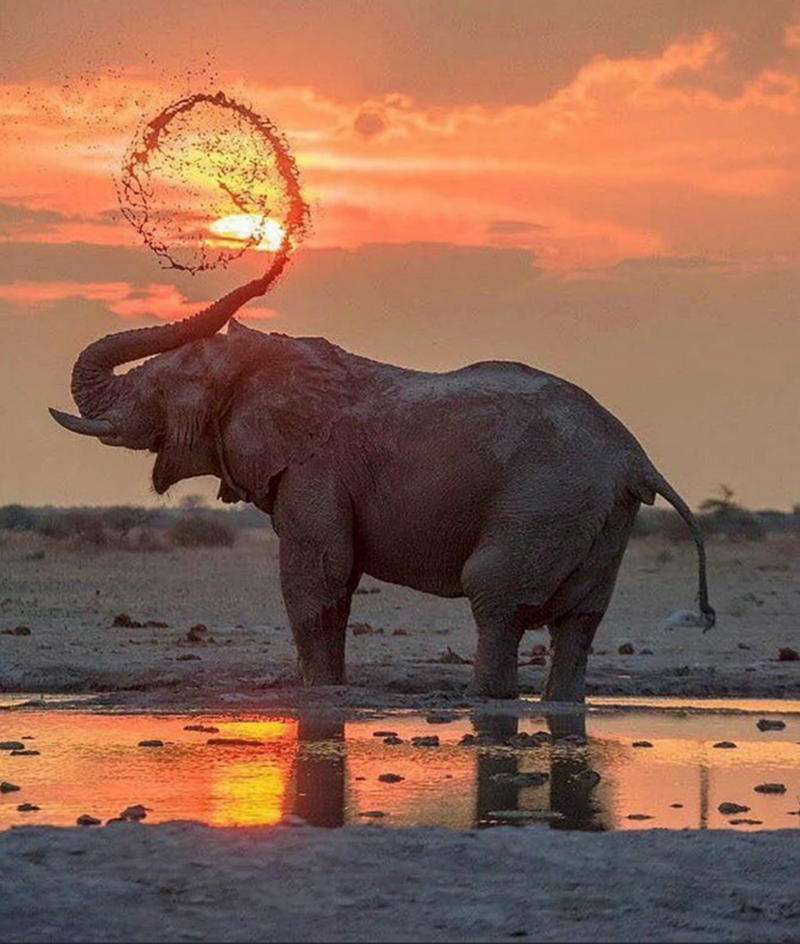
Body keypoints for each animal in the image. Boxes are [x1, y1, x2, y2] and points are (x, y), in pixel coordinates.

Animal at [50, 274, 715, 702]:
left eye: (164, 385)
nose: (267, 264)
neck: (268, 359)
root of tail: (635, 458)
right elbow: (336, 583)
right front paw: (333, 691)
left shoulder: (314, 467)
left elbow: (314, 579)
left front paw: (317, 695)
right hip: (602, 515)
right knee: (579, 622)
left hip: (546, 499)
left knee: (496, 597)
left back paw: (484, 704)